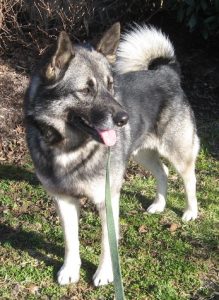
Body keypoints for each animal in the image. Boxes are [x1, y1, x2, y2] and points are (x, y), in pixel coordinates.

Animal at [24, 22, 199, 286]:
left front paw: (105, 274)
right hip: (141, 153)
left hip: (177, 151)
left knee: (189, 178)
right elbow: (70, 240)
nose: (124, 119)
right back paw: (159, 204)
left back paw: (191, 211)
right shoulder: (63, 200)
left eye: (110, 85)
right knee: (163, 172)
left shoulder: (107, 199)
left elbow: (108, 242)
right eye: (86, 90)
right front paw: (70, 269)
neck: (70, 147)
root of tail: (166, 72)